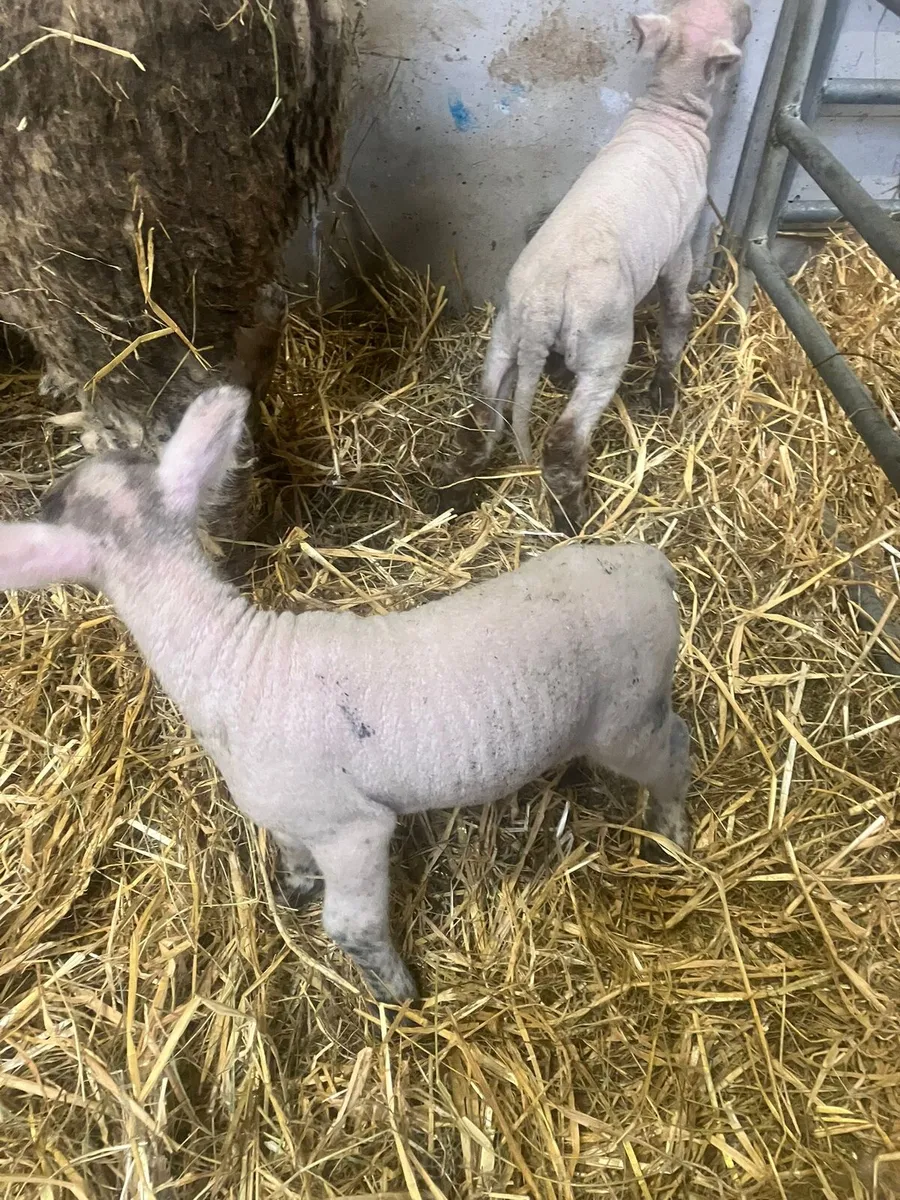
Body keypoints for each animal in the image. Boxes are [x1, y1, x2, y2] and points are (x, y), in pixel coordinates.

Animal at [0, 385, 691, 1004]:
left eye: (54, 502)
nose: (47, 491)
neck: (227, 655)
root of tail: (651, 565)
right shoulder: (291, 817)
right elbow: (289, 852)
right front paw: (296, 886)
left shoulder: (350, 827)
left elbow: (349, 925)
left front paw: (396, 994)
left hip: (625, 717)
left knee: (672, 753)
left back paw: (673, 830)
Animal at [440, 0, 752, 535]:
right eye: (734, 17)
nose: (751, 12)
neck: (668, 109)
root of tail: (542, 307)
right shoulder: (680, 244)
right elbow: (677, 311)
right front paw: (665, 386)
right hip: (603, 347)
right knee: (563, 441)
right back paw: (573, 519)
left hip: (504, 337)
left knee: (481, 419)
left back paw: (453, 495)